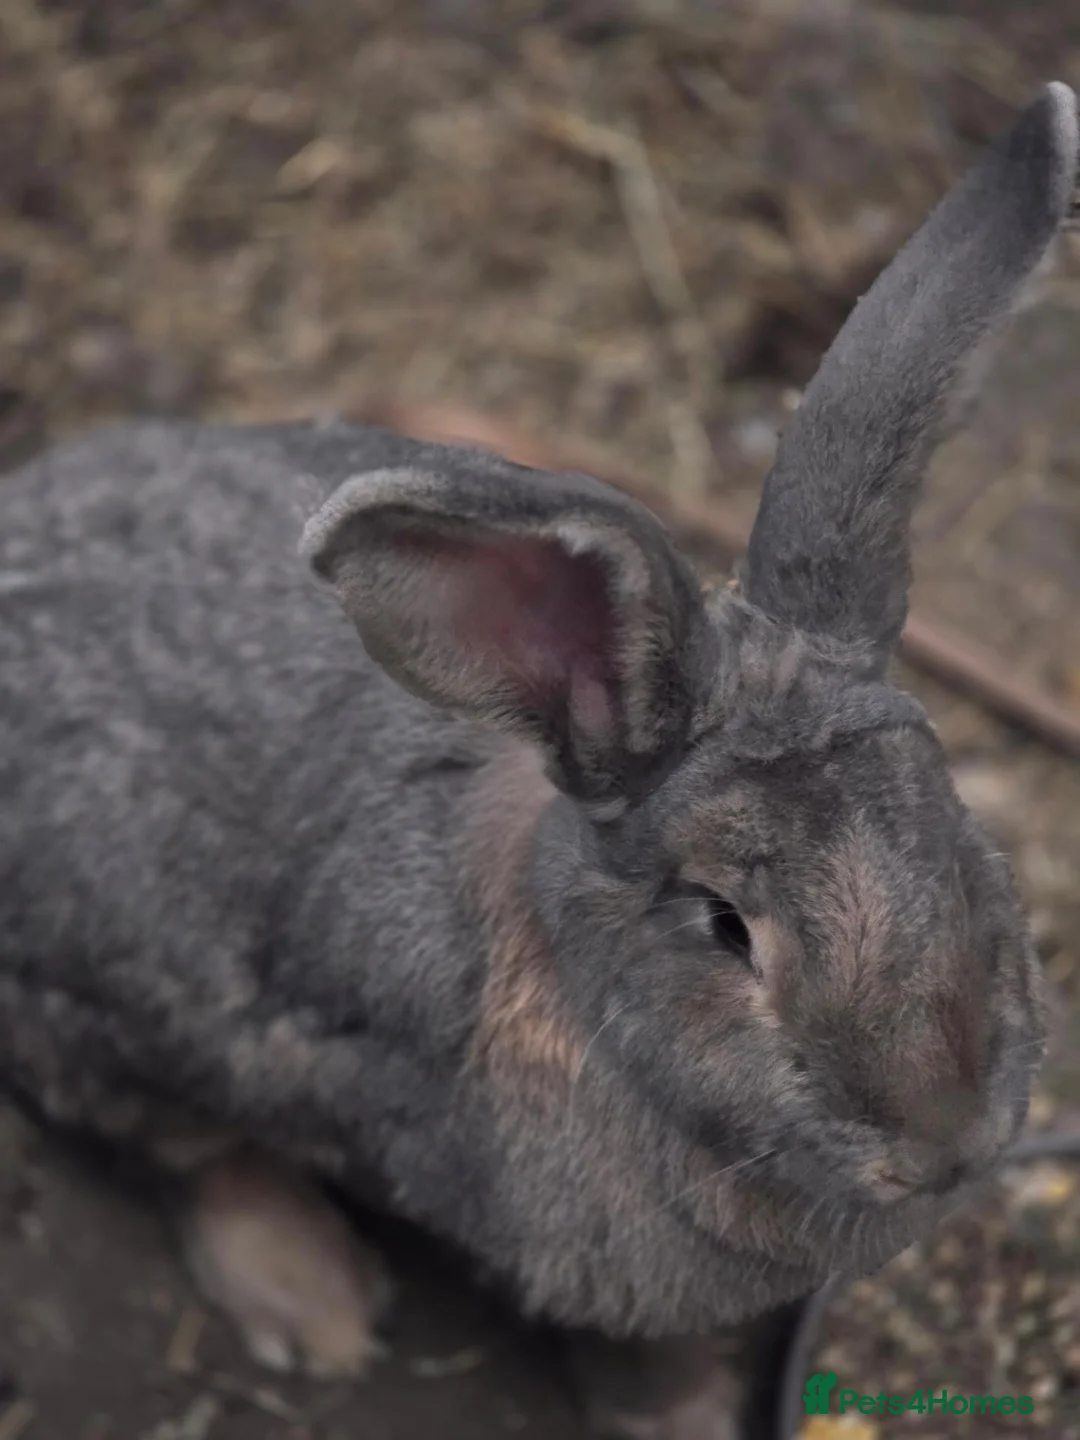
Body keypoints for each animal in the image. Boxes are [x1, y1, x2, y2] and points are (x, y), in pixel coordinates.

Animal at [0, 81, 1076, 1435]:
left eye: (957, 829)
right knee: (197, 1151)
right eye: (724, 924)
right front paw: (673, 1417)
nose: (943, 1145)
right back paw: (316, 1312)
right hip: (105, 1002)